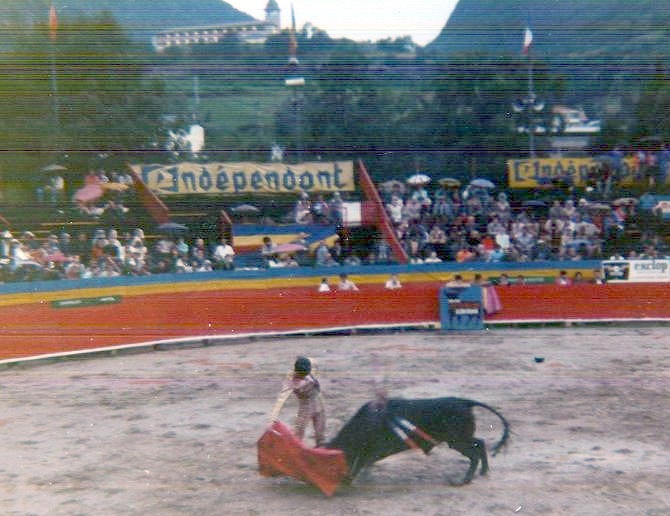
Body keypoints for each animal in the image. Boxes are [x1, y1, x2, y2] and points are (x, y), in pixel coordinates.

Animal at [326, 400, 510, 484]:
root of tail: (465, 402)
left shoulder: (374, 450)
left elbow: (363, 462)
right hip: (461, 439)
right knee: (480, 443)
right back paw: (483, 472)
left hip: (457, 440)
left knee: (474, 453)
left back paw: (464, 480)